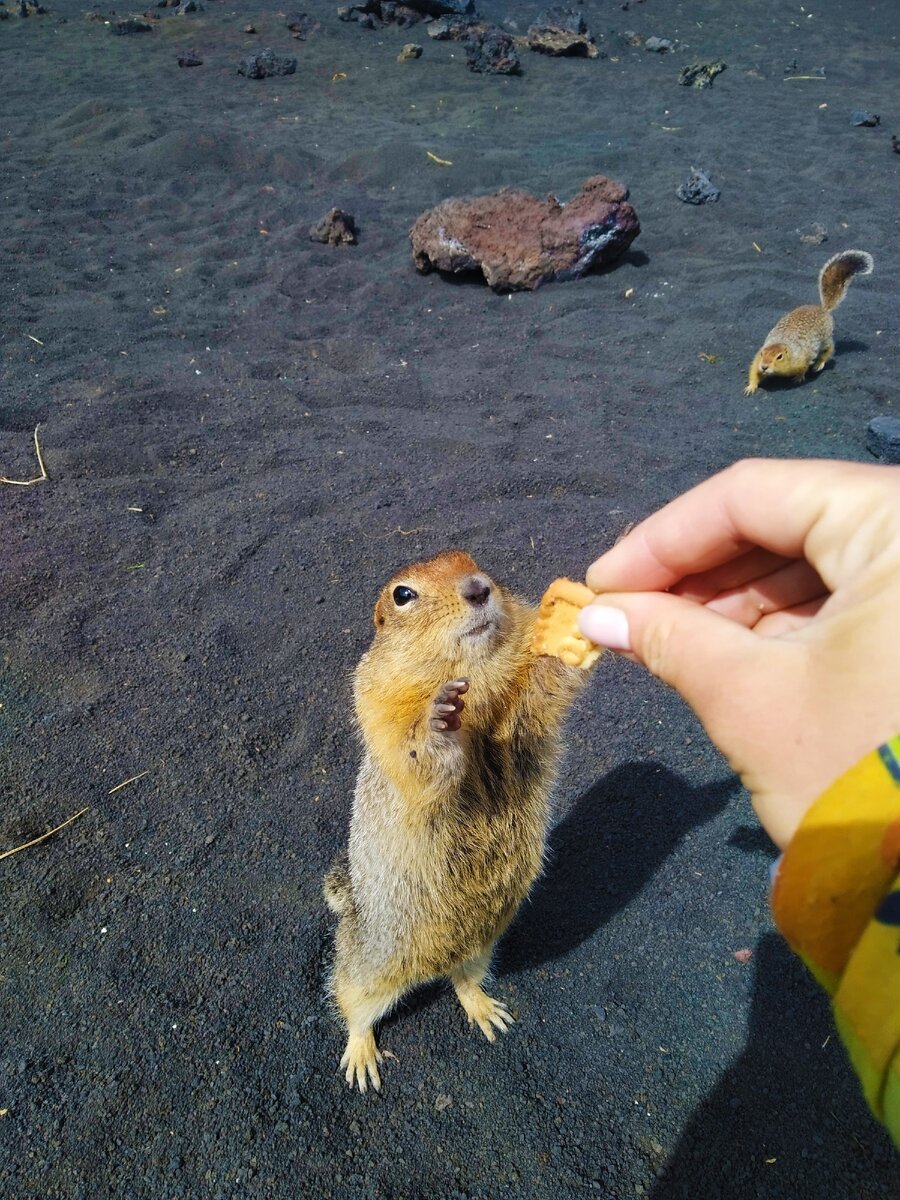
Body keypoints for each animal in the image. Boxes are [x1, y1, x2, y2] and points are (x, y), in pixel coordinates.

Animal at [324, 549, 600, 1094]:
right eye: (402, 594)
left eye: (471, 560)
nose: (477, 588)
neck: (470, 672)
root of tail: (435, 964)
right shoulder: (379, 704)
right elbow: (412, 753)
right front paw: (438, 718)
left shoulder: (519, 707)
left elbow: (540, 692)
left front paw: (574, 625)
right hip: (370, 964)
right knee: (351, 999)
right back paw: (360, 1057)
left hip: (481, 948)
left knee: (463, 981)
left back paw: (486, 1011)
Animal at [744, 249, 878, 396]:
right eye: (762, 353)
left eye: (779, 357)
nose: (764, 367)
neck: (785, 345)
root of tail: (823, 309)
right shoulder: (757, 360)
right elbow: (754, 371)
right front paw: (751, 386)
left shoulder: (802, 358)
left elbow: (804, 368)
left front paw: (798, 377)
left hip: (825, 339)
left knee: (830, 349)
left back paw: (819, 364)